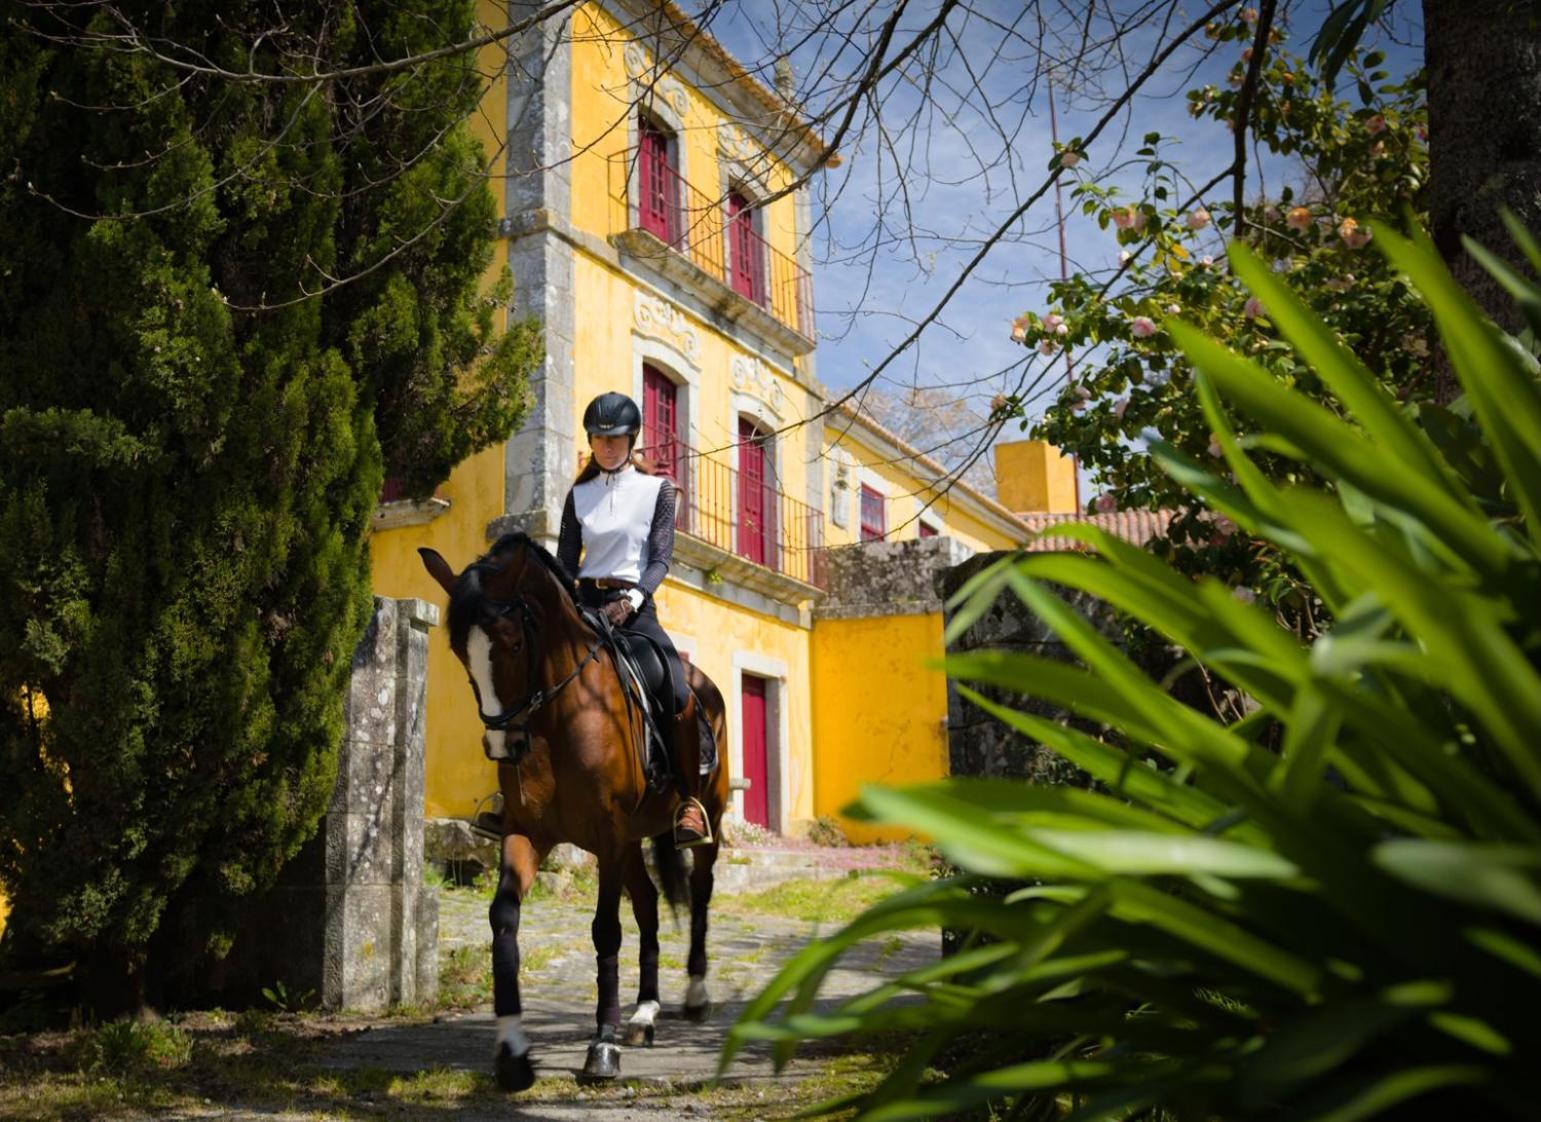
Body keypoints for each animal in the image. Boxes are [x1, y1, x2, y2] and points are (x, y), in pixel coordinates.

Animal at [419, 539, 730, 1091]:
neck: (556, 719)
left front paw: (601, 1048)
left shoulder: (607, 836)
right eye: (459, 651)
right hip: (632, 841)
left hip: (703, 821)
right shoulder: (528, 833)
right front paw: (513, 1053)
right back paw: (644, 1013)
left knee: (699, 893)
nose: (503, 745)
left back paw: (695, 994)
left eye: (513, 643)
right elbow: (503, 919)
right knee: (648, 904)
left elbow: (606, 931)